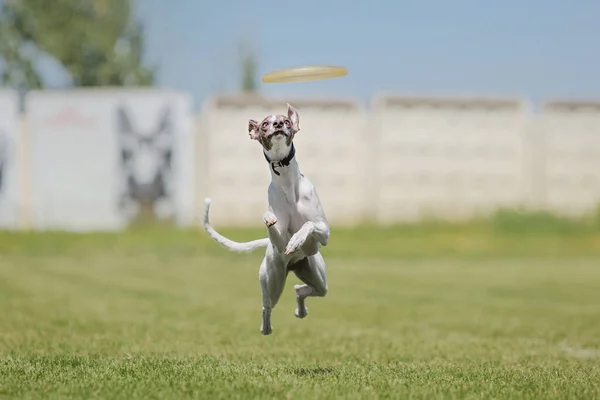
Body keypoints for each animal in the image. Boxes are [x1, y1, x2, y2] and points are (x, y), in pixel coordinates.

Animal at [204, 103, 330, 334]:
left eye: (287, 122)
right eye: (265, 124)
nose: (279, 124)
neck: (288, 183)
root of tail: (292, 266)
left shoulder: (323, 234)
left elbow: (309, 224)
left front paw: (296, 240)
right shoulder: (279, 243)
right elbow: (271, 222)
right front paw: (269, 218)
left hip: (316, 276)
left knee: (303, 290)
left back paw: (300, 310)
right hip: (272, 281)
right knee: (267, 306)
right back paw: (267, 328)